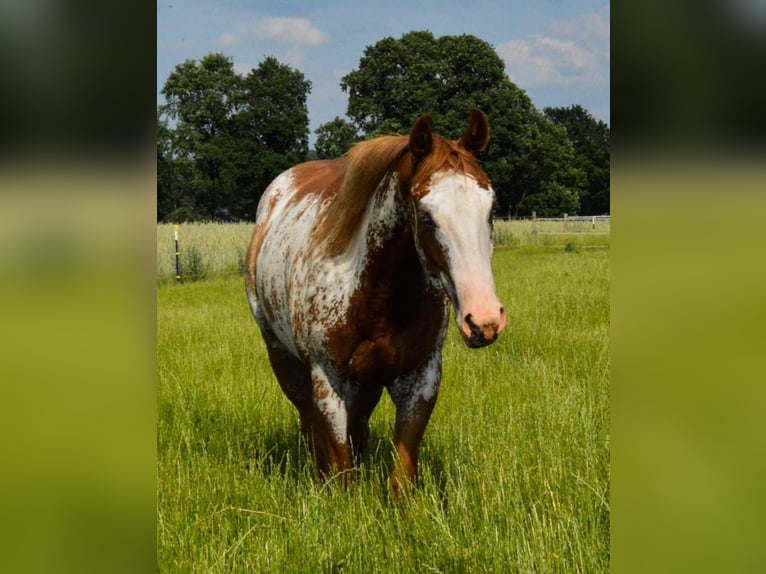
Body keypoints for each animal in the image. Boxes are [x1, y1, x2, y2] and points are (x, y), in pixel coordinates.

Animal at [246, 110, 508, 498]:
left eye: (491, 209)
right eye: (425, 216)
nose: (485, 321)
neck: (378, 296)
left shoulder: (421, 378)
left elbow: (402, 475)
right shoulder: (328, 381)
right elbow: (341, 469)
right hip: (282, 356)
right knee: (309, 422)